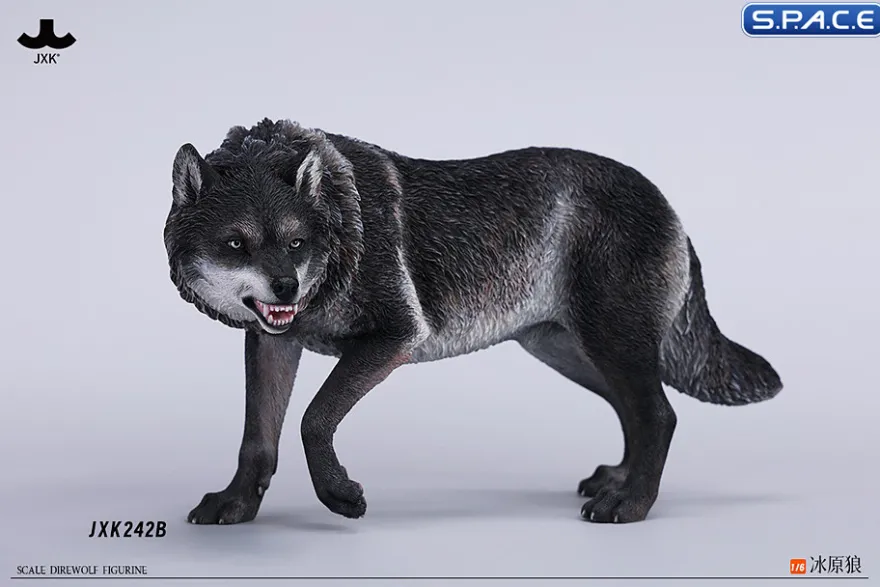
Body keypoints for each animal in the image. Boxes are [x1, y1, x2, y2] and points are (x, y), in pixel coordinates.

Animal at [164, 118, 782, 525]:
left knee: (659, 414)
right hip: (571, 354)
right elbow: (257, 438)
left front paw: (340, 497)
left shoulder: (394, 338)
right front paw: (237, 506)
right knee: (640, 412)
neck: (343, 225)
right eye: (236, 244)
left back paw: (630, 505)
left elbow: (314, 420)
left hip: (611, 346)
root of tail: (670, 206)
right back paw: (619, 481)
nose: (288, 288)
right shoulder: (273, 342)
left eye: (296, 243)